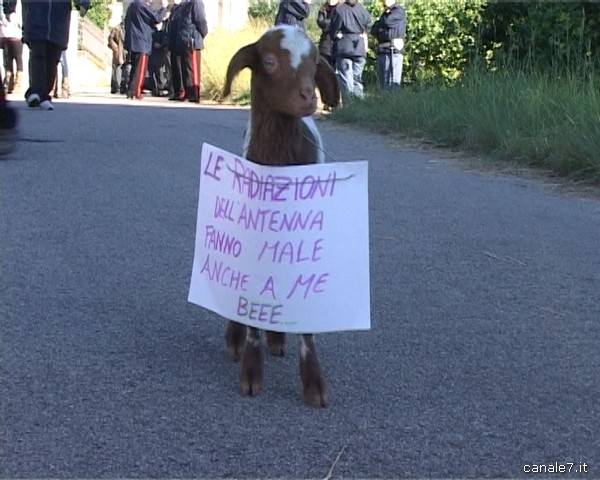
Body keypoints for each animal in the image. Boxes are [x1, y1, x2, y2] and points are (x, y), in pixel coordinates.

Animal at [221, 24, 342, 406]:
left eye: (315, 63)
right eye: (270, 61)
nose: (308, 97)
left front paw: (314, 383)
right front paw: (250, 373)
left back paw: (276, 340)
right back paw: (235, 340)